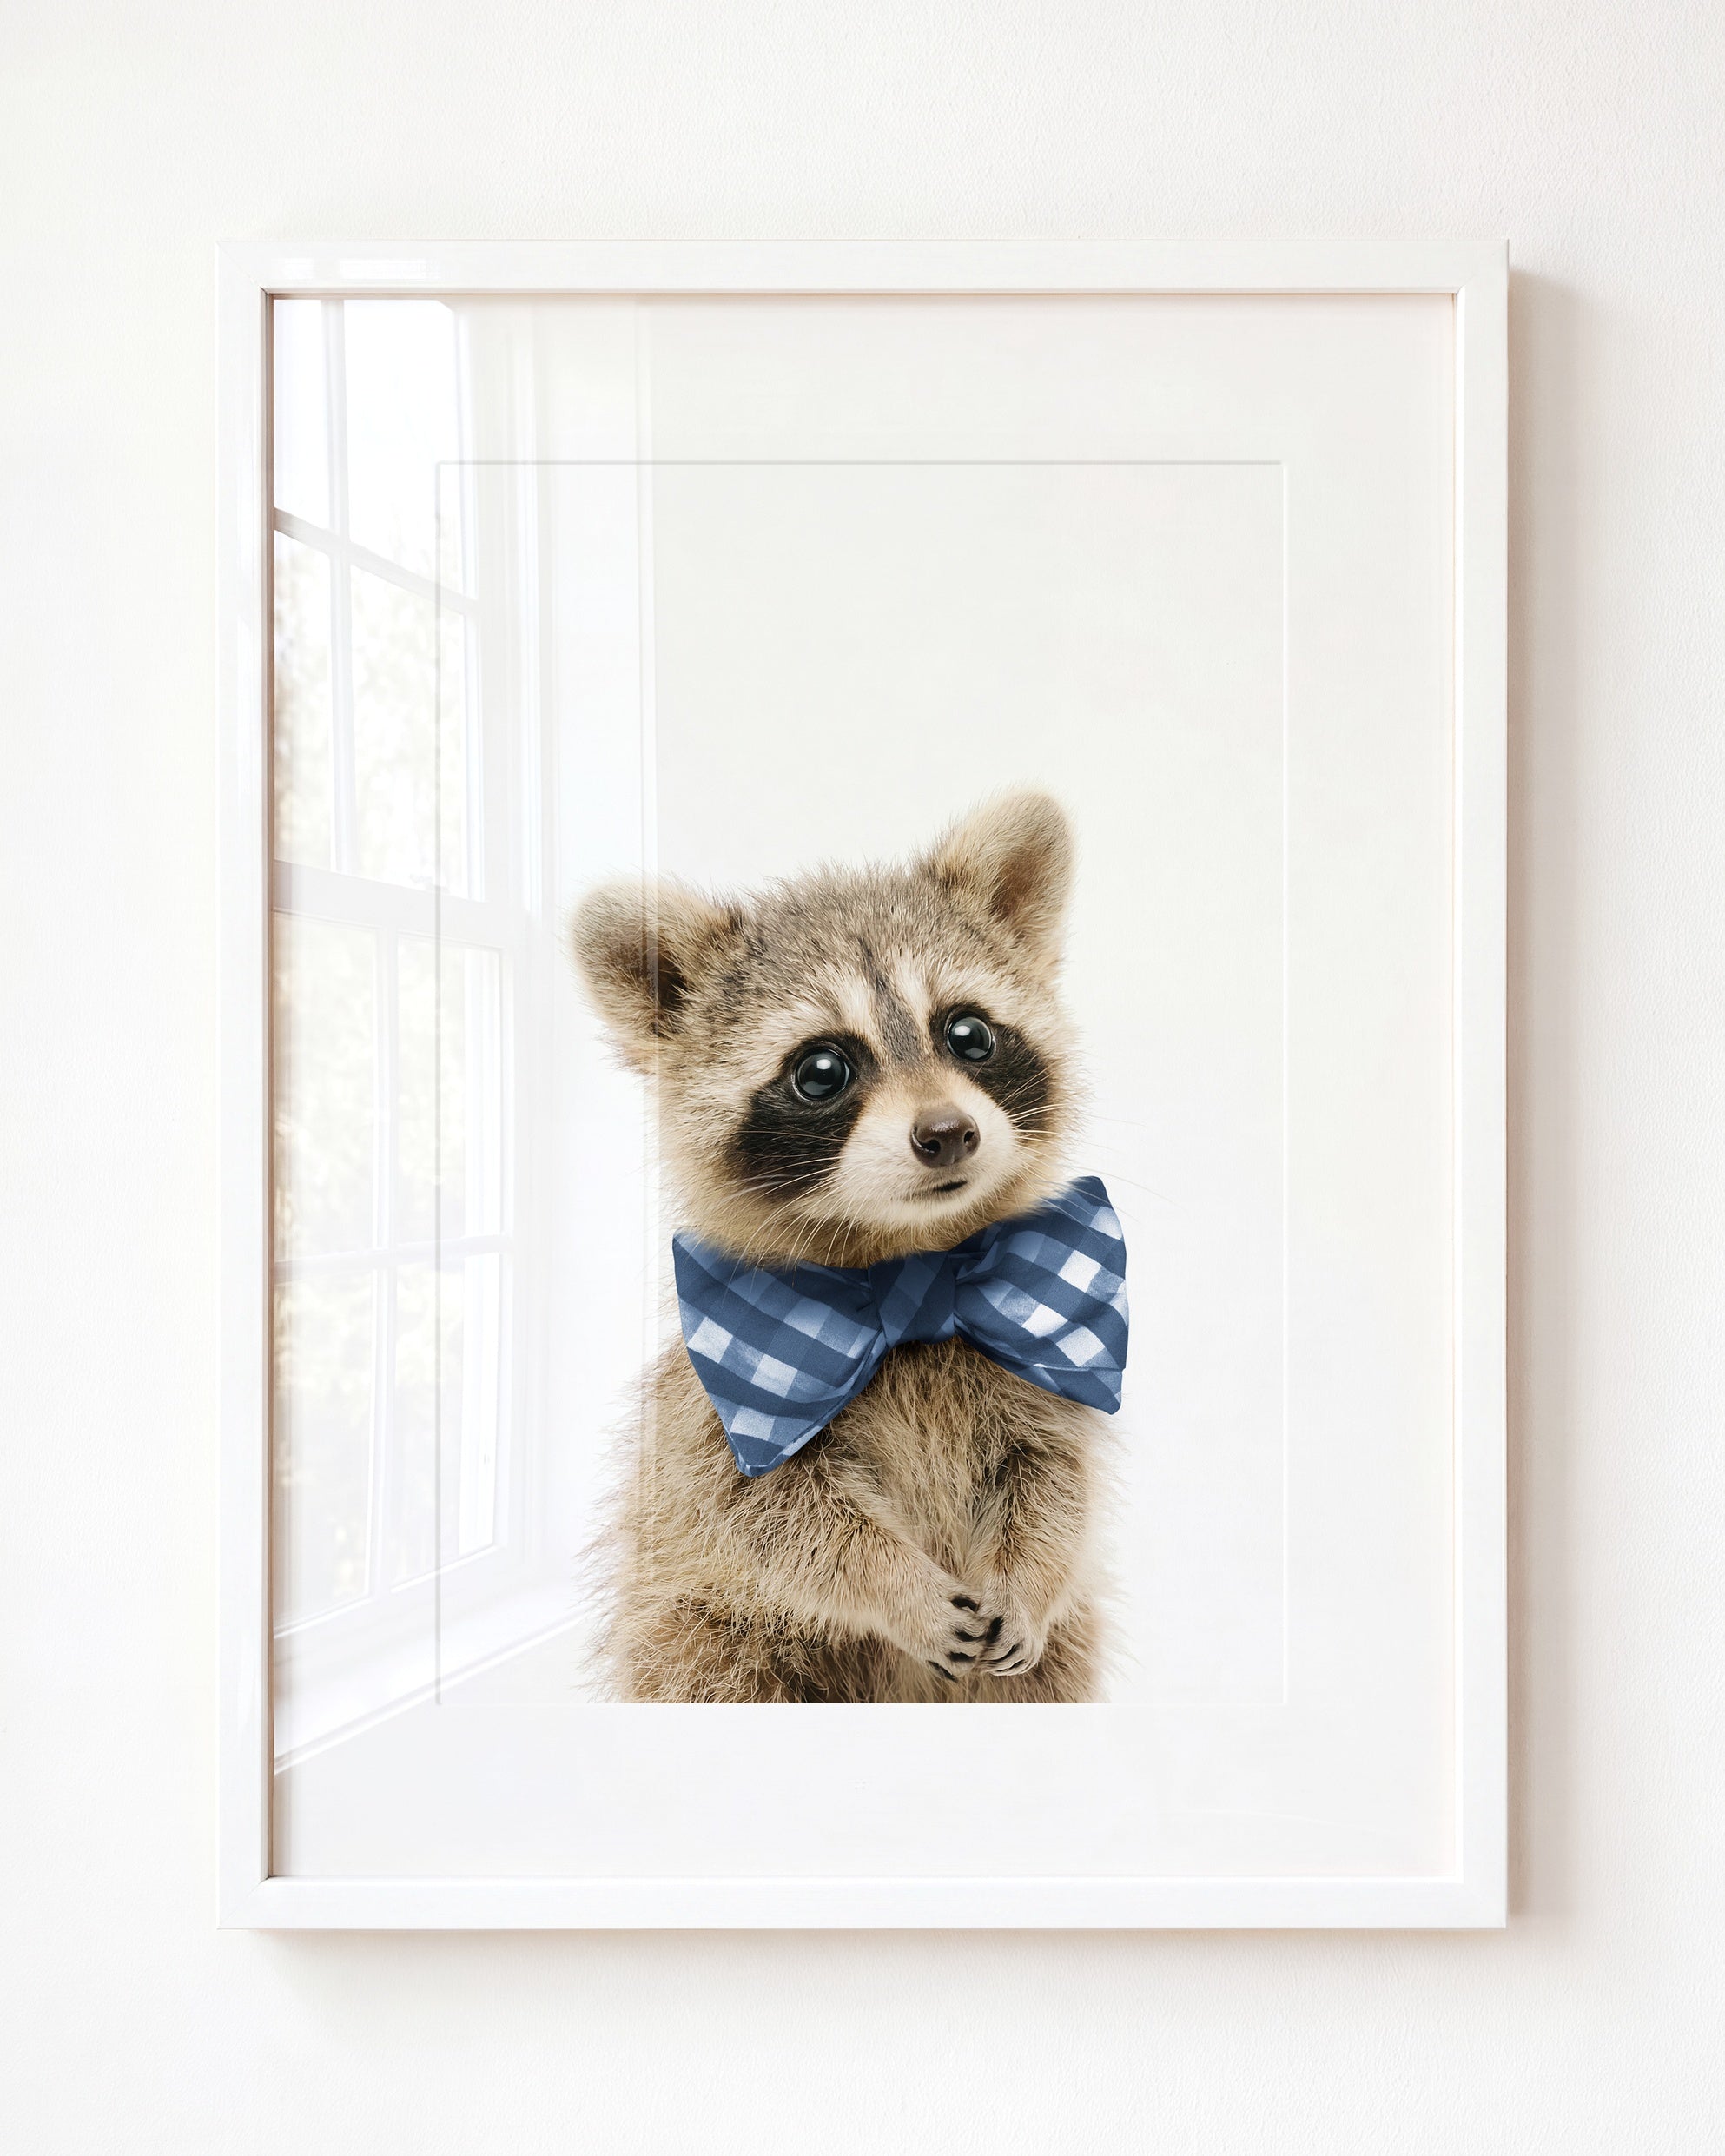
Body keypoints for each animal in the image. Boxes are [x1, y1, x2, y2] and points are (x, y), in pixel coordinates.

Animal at [570, 790, 1112, 1702]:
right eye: (822, 1070)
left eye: (969, 1034)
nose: (948, 1133)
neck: (911, 1265)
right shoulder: (719, 1410)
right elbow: (772, 1519)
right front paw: (896, 1586)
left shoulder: (1037, 1368)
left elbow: (1055, 1480)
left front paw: (1030, 1578)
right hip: (701, 1634)